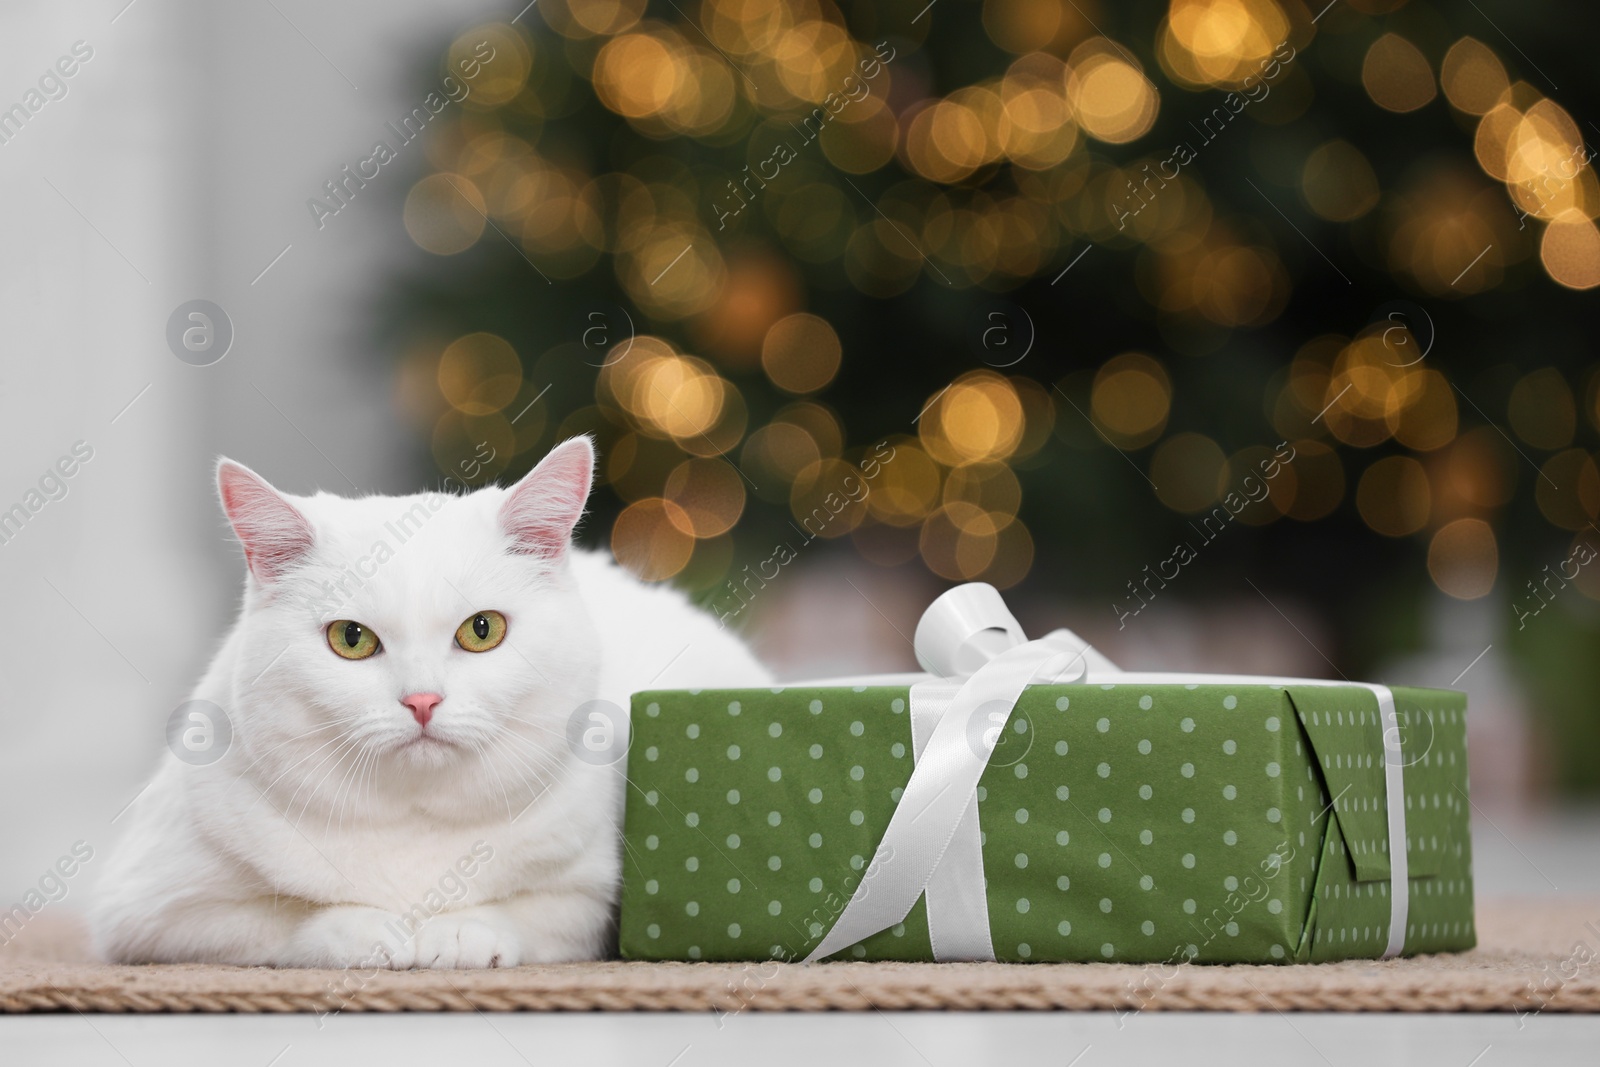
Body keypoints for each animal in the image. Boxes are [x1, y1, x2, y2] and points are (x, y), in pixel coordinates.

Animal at [90, 438, 771, 972]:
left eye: (482, 630)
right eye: (351, 638)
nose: (422, 700)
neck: (414, 822)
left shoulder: (592, 896)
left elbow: (528, 912)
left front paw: (462, 931)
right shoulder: (147, 911)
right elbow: (277, 921)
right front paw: (366, 930)